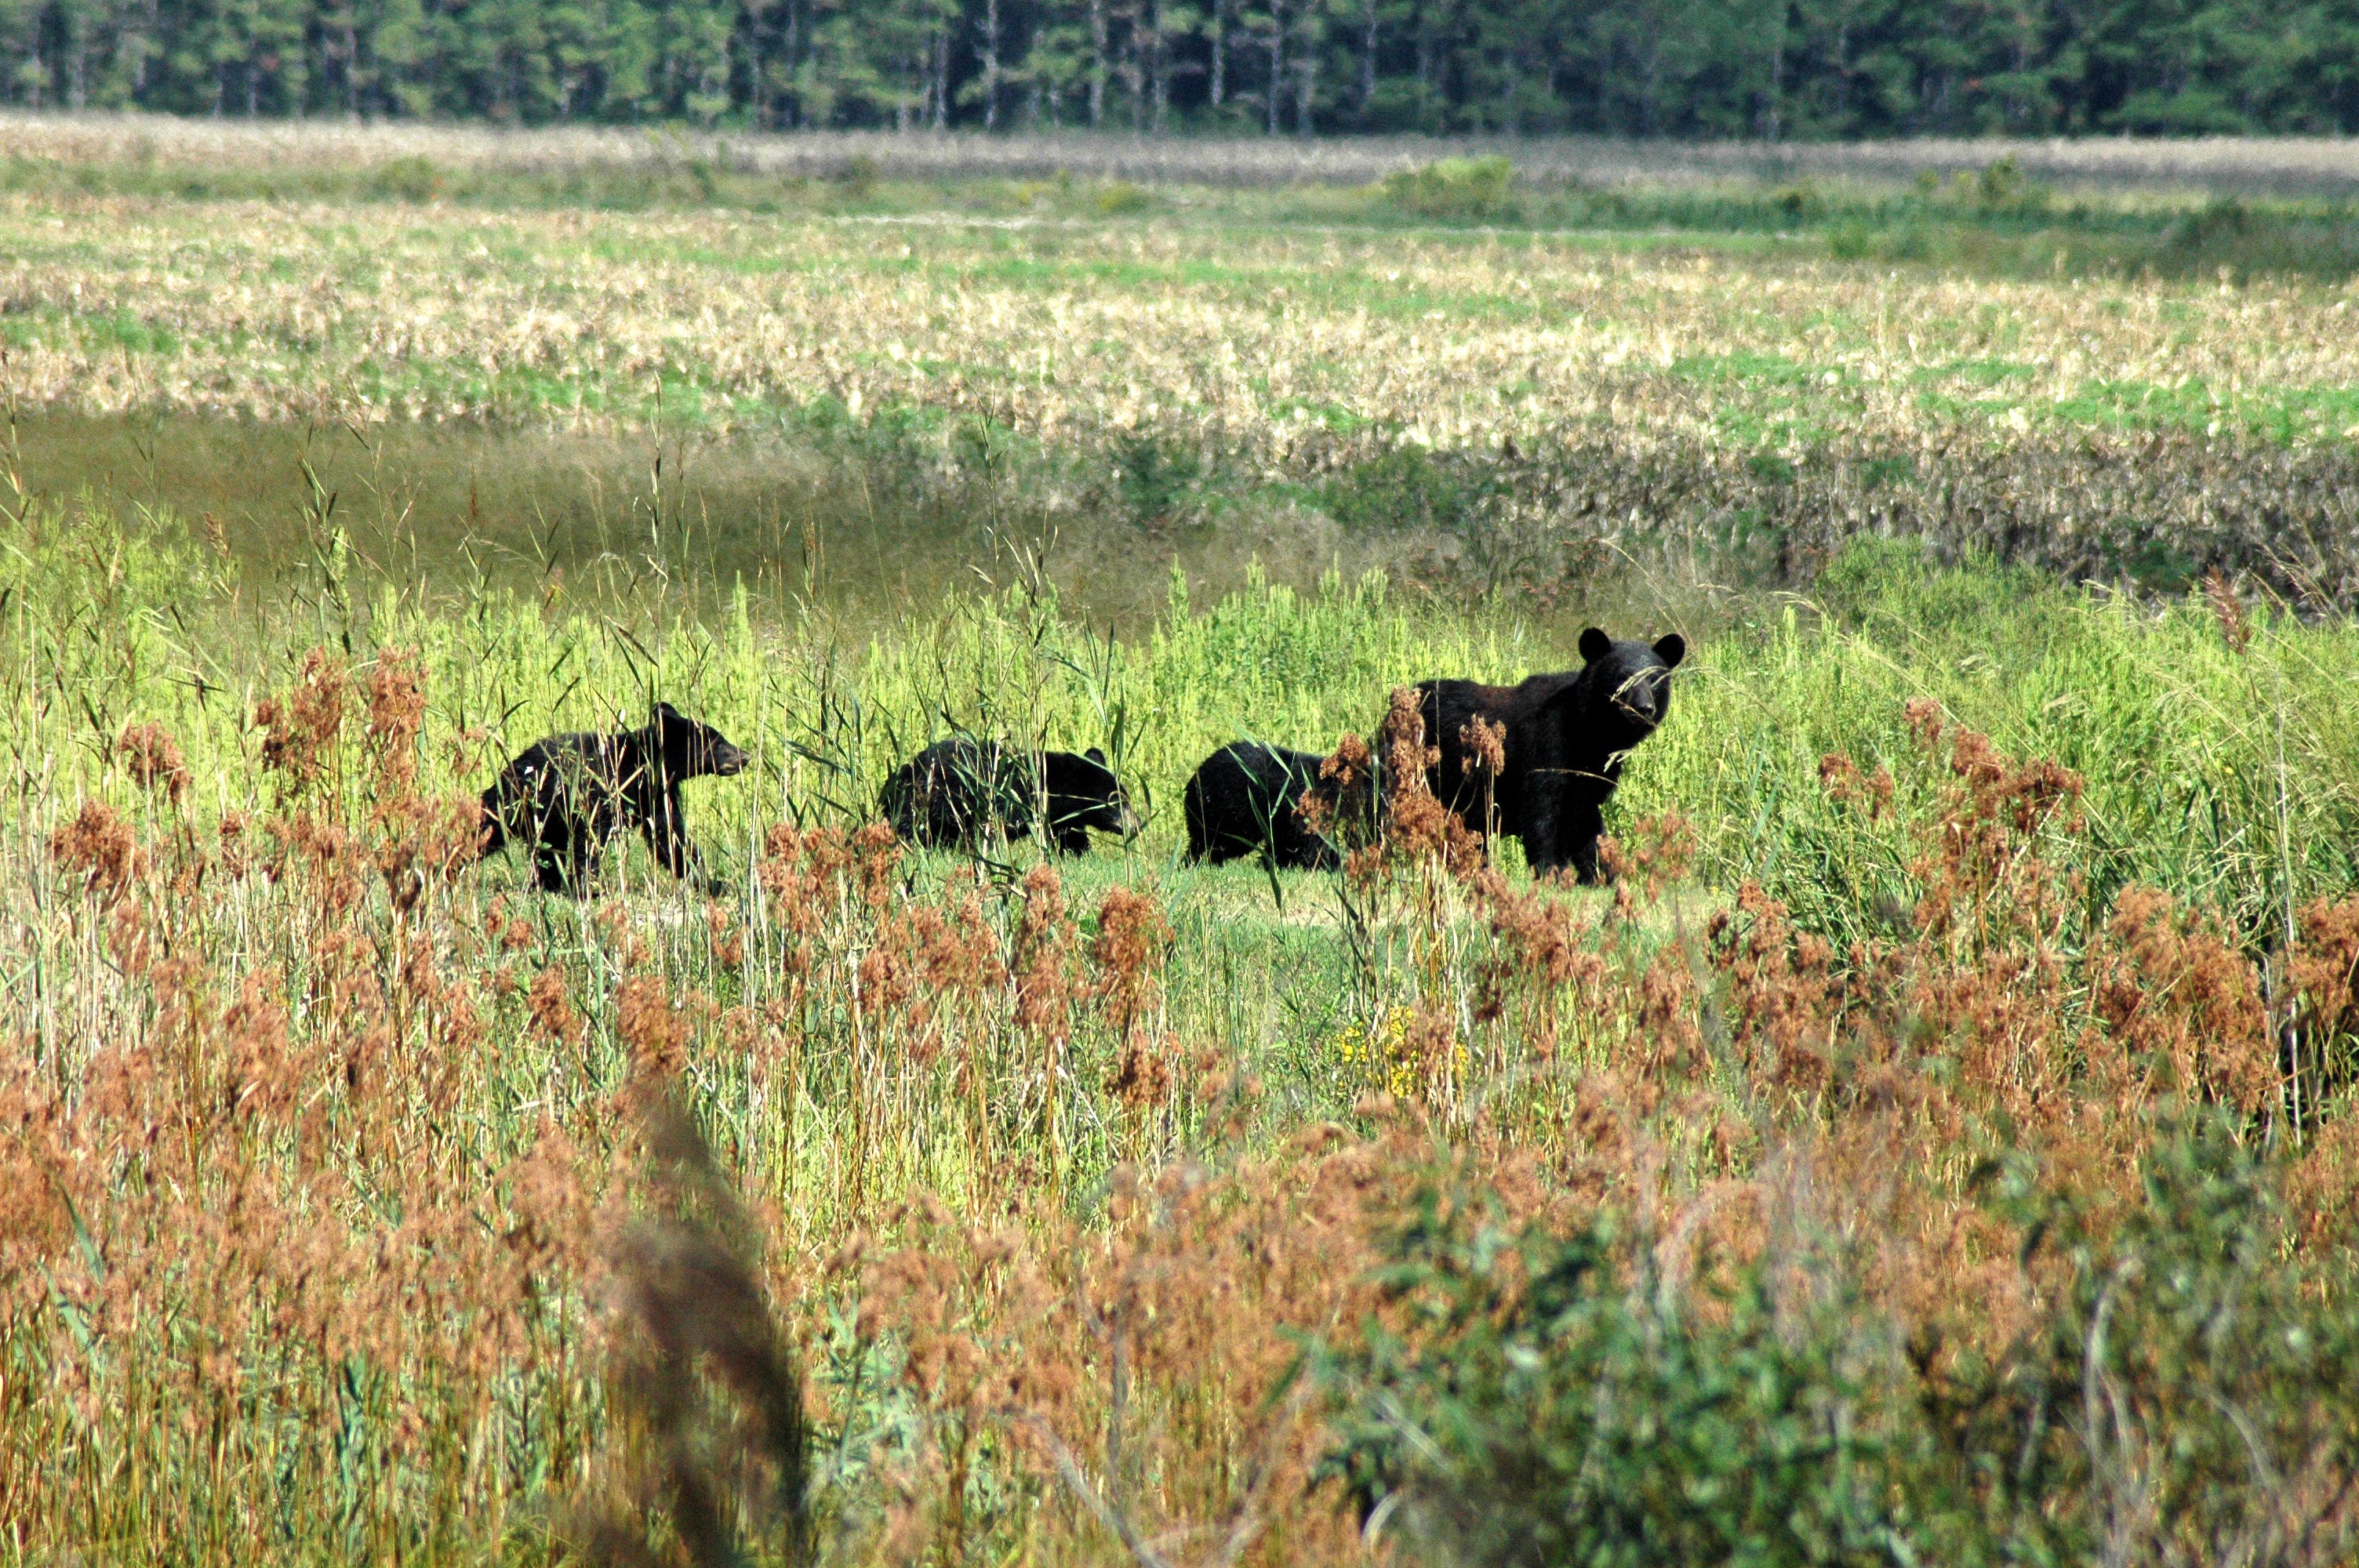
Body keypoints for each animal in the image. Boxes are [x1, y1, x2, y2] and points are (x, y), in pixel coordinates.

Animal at [479, 701, 749, 894]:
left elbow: (670, 835)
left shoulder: (657, 795)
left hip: (547, 817)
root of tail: (515, 764)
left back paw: (550, 884)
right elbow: (592, 835)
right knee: (489, 827)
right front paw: (588, 887)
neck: (641, 766)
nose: (745, 756)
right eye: (719, 743)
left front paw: (711, 882)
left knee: (549, 849)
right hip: (517, 799)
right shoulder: (603, 788)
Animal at [879, 737, 1132, 855]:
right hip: (922, 801)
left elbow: (1070, 837)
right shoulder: (1004, 800)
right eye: (1116, 801)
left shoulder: (1060, 818)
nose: (1137, 825)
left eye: (1126, 798)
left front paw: (1079, 853)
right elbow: (987, 831)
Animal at [1418, 626, 1685, 883]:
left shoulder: (1592, 774)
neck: (1591, 733)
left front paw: (1602, 874)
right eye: (1622, 676)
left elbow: (1586, 822)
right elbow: (1542, 813)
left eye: (1655, 679)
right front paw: (1553, 873)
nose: (1643, 709)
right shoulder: (1547, 747)